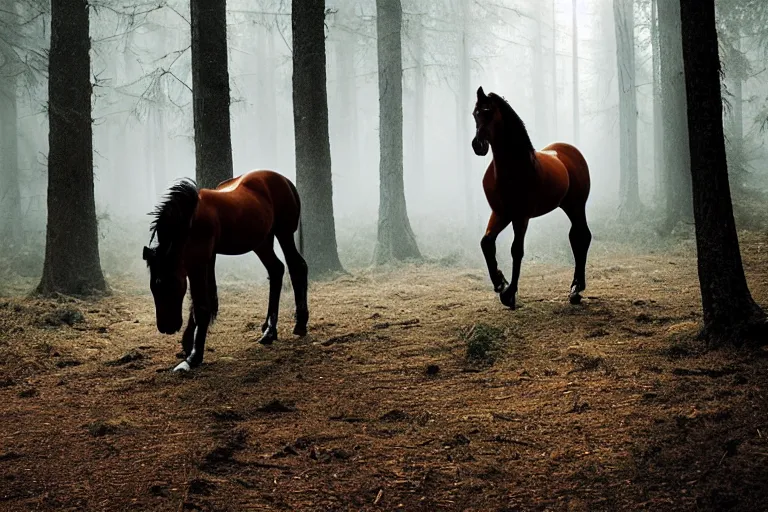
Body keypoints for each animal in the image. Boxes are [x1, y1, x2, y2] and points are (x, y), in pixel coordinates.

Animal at [142, 171, 308, 372]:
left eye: (171, 285)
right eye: (153, 287)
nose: (166, 327)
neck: (191, 221)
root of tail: (285, 180)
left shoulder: (198, 262)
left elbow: (201, 305)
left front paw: (193, 357)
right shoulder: (202, 261)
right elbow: (201, 301)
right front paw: (188, 344)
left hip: (284, 233)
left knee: (297, 267)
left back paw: (300, 324)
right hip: (261, 242)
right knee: (276, 270)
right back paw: (269, 331)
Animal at [472, 86, 592, 310]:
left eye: (489, 111)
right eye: (475, 113)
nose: (478, 145)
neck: (513, 167)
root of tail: (572, 152)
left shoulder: (521, 217)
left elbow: (516, 251)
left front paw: (509, 294)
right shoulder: (501, 213)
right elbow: (486, 243)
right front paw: (500, 283)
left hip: (577, 206)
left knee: (583, 237)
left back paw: (576, 288)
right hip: (567, 206)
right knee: (576, 237)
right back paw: (575, 288)